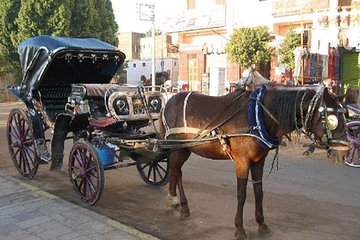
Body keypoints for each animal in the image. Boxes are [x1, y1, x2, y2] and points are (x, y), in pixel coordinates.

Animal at [159, 85, 348, 240]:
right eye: (331, 120)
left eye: (345, 116)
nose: (344, 152)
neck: (258, 117)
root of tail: (169, 101)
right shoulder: (242, 162)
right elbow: (241, 195)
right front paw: (239, 229)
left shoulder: (259, 161)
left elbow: (259, 192)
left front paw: (262, 224)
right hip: (178, 147)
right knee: (177, 172)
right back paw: (183, 207)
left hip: (184, 149)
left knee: (174, 170)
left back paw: (172, 199)